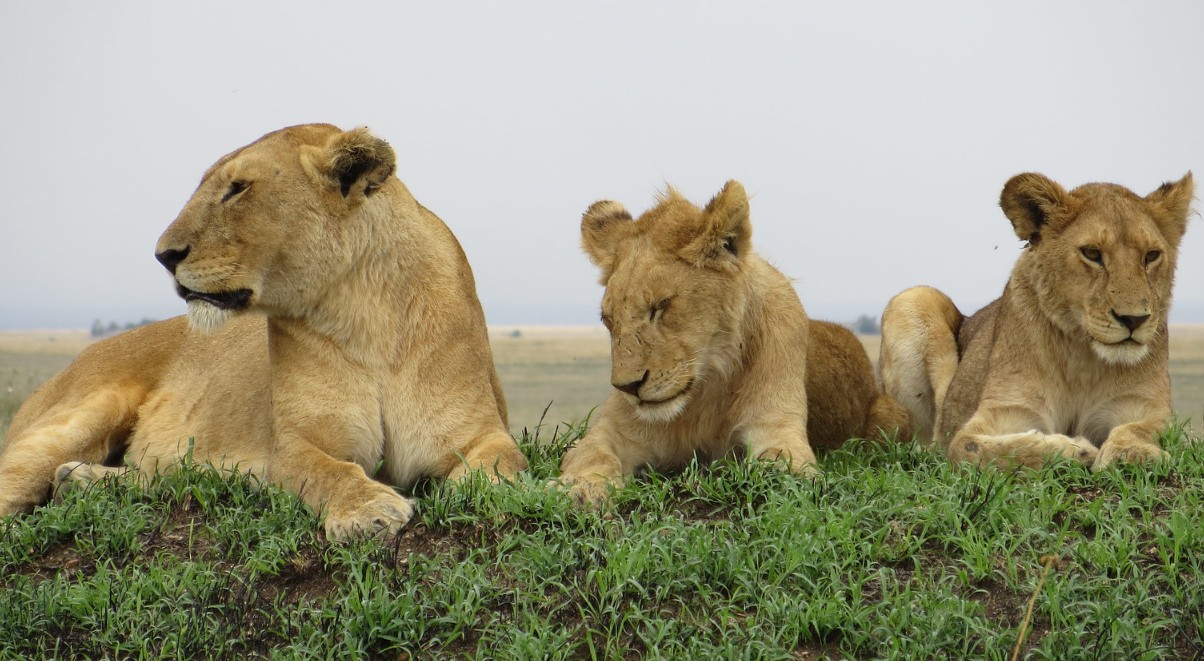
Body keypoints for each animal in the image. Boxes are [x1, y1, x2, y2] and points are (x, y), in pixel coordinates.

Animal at [0, 123, 527, 539]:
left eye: (237, 189)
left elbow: (502, 462)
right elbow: (326, 470)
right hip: (79, 415)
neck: (364, 312)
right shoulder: (290, 445)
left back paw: (82, 481)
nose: (163, 255)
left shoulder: (479, 430)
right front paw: (368, 510)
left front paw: (477, 496)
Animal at [555, 181, 911, 505]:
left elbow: (783, 461)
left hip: (894, 416)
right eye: (608, 319)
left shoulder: (776, 424)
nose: (627, 387)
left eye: (661, 306)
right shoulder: (611, 431)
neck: (706, 386)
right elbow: (591, 455)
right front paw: (580, 489)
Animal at [878, 172, 1194, 470]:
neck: (1083, 357)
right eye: (1092, 253)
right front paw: (1075, 451)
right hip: (914, 299)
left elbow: (1141, 429)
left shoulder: (1143, 406)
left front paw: (1133, 453)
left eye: (1151, 256)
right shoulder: (1006, 411)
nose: (1133, 319)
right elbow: (972, 448)